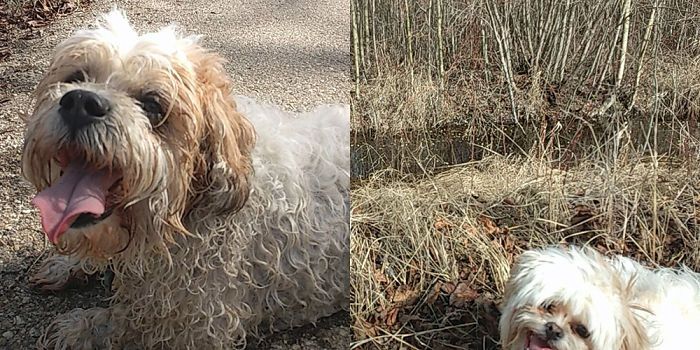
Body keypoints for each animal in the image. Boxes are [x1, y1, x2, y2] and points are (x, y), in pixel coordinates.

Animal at [22, 8, 350, 350]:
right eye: (75, 77)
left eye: (152, 105)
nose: (80, 103)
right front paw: (67, 265)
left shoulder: (198, 324)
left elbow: (129, 322)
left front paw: (77, 328)